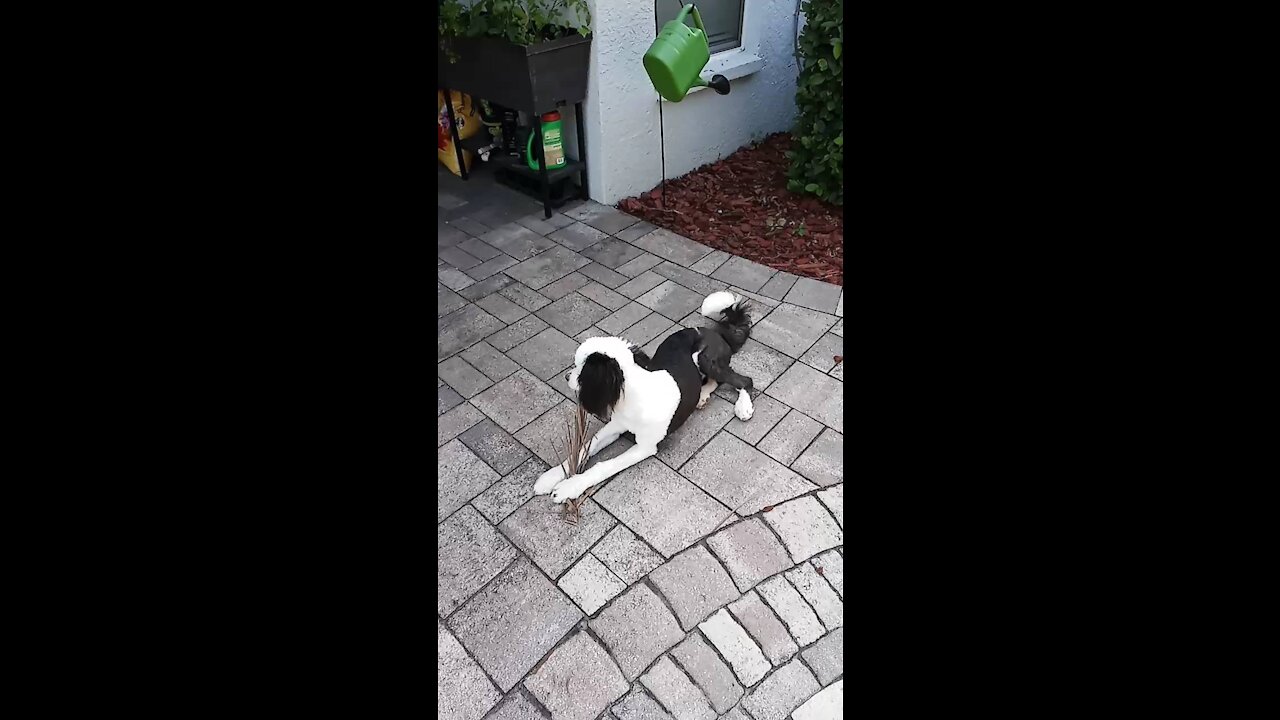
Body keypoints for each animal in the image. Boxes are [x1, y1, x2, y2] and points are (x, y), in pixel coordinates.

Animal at [535, 288, 752, 502]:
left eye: (582, 371)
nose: (566, 376)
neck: (633, 398)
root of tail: (718, 334)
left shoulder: (645, 447)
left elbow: (604, 466)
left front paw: (569, 487)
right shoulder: (616, 425)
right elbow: (586, 446)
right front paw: (552, 477)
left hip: (706, 359)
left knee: (744, 380)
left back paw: (744, 407)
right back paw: (702, 396)